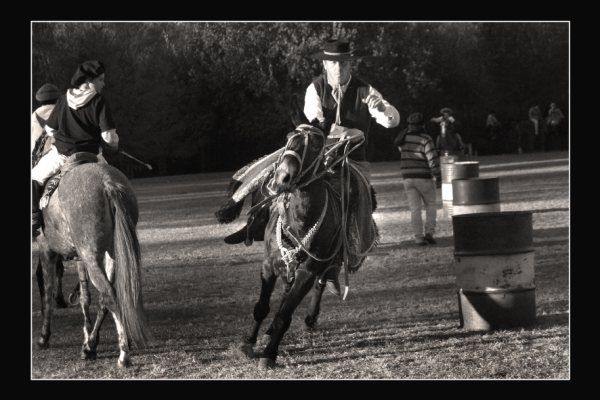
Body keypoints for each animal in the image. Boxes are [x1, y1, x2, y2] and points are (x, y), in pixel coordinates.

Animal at [36, 161, 150, 368]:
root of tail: (107, 183)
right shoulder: (80, 258)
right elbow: (84, 298)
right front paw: (87, 337)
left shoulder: (47, 250)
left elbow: (47, 293)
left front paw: (43, 337)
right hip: (110, 253)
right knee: (107, 297)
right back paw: (91, 346)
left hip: (91, 254)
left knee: (109, 294)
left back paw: (123, 354)